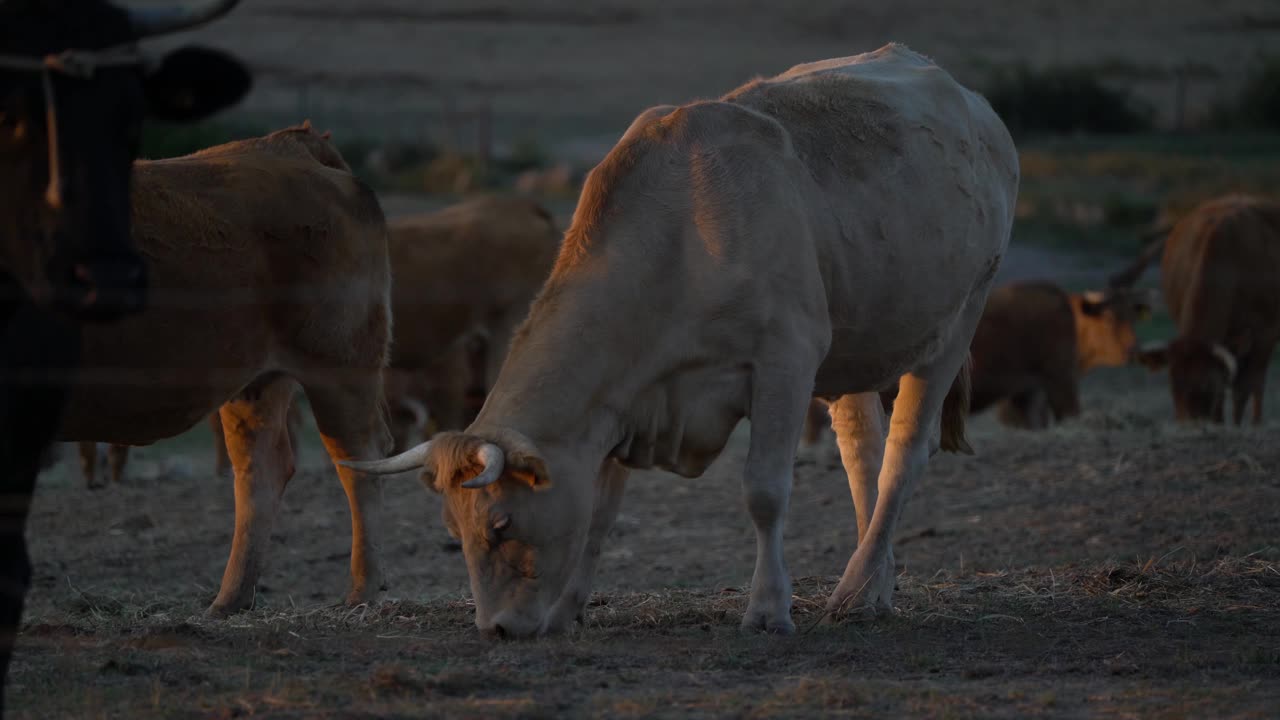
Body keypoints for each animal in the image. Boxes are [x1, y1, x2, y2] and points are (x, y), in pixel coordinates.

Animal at [56, 121, 394, 609]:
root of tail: (290, 144)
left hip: (340, 366)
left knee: (359, 460)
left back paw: (361, 591)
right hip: (255, 381)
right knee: (260, 472)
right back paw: (230, 600)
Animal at [345, 46, 1013, 632]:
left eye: (502, 525)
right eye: (453, 532)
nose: (498, 629)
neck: (685, 234)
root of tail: (976, 107)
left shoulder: (785, 360)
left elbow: (765, 492)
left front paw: (768, 610)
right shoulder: (626, 401)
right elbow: (600, 514)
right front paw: (566, 614)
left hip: (958, 320)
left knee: (903, 455)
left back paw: (856, 588)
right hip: (856, 345)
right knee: (862, 454)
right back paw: (871, 588)